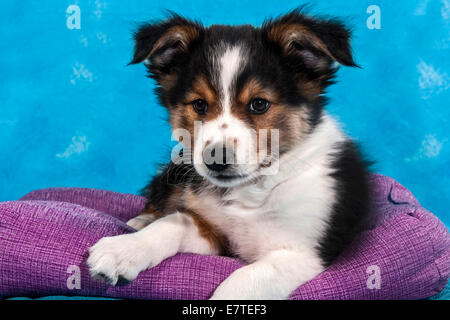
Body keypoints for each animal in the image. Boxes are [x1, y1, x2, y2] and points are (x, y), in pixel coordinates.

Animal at [87, 10, 370, 300]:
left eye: (259, 104)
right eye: (199, 104)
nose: (216, 159)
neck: (254, 188)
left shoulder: (302, 254)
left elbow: (243, 280)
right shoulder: (215, 232)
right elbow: (173, 221)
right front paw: (123, 249)